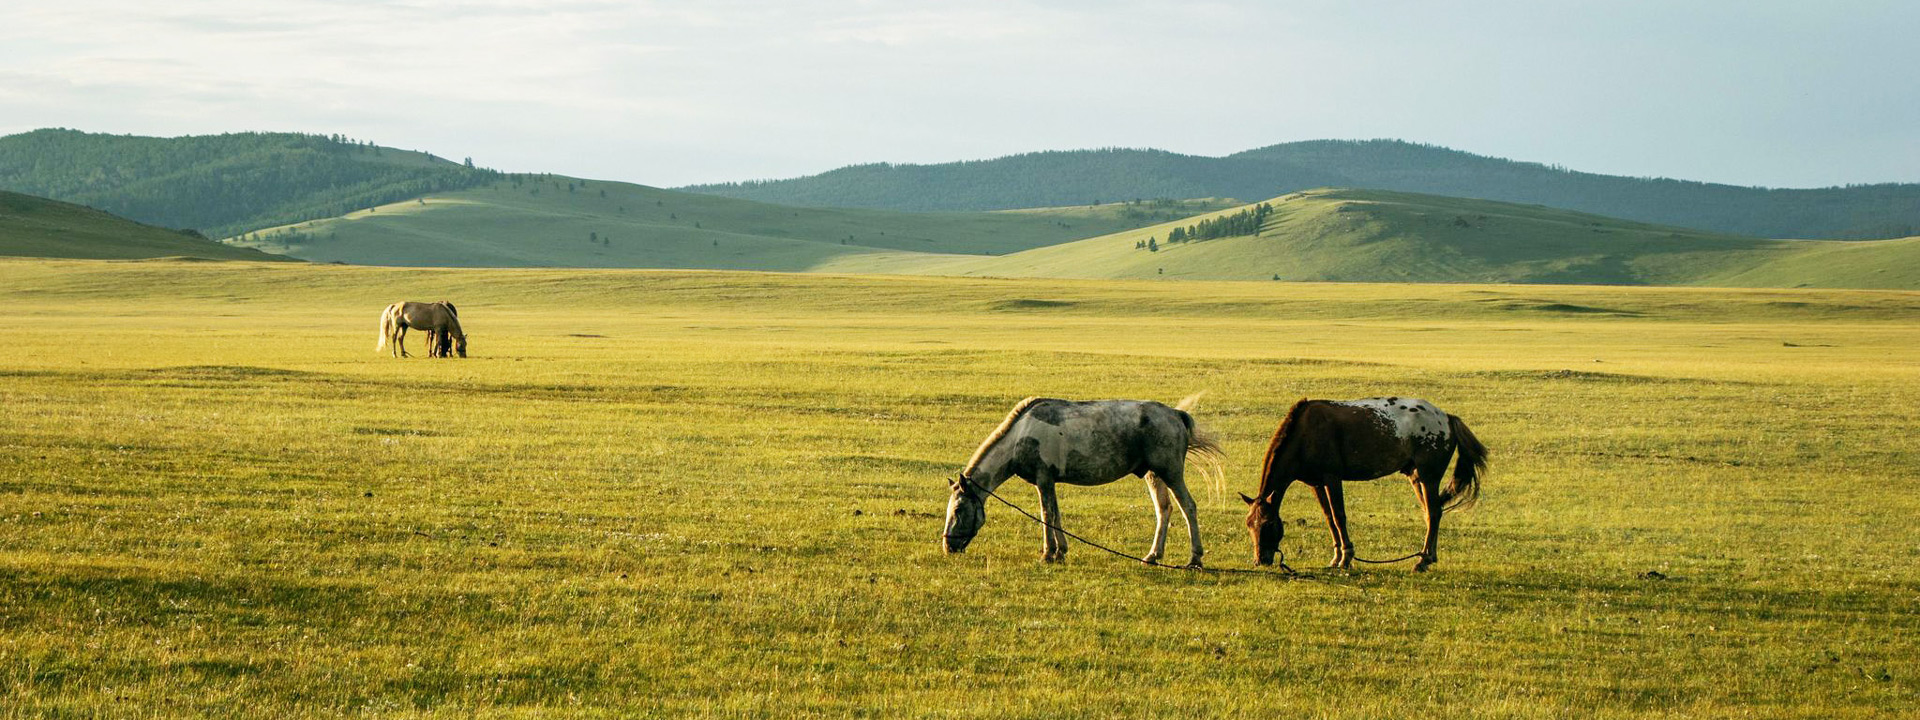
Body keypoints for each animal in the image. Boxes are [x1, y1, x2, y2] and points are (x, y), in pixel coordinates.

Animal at [942, 394, 1225, 566]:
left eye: (958, 510)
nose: (948, 546)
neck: (1020, 436)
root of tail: (1176, 414)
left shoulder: (1044, 479)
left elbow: (1046, 514)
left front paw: (1048, 553)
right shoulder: (1049, 482)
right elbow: (1056, 515)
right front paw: (1060, 551)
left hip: (1171, 473)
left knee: (1188, 507)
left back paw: (1195, 559)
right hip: (1153, 474)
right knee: (1164, 510)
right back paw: (1153, 555)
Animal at [1240, 397, 1487, 572]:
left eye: (1268, 524)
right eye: (1249, 525)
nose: (1260, 560)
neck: (1305, 433)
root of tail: (1446, 418)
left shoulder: (1332, 478)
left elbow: (1339, 516)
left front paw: (1346, 557)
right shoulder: (1316, 484)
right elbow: (1329, 518)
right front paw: (1336, 557)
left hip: (1429, 476)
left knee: (1434, 513)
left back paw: (1423, 561)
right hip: (1416, 476)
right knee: (1431, 513)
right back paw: (1427, 557)